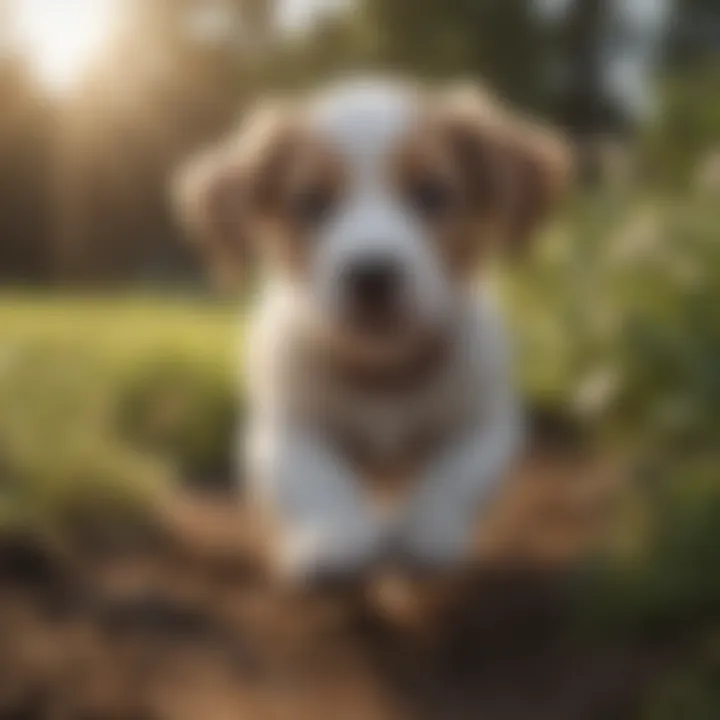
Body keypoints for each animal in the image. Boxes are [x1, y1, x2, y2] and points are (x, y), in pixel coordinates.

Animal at [177, 77, 572, 584]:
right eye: (311, 202)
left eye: (432, 193)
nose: (371, 275)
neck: (381, 371)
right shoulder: (283, 429)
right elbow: (316, 479)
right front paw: (336, 537)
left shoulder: (486, 424)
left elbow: (454, 477)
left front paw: (425, 532)